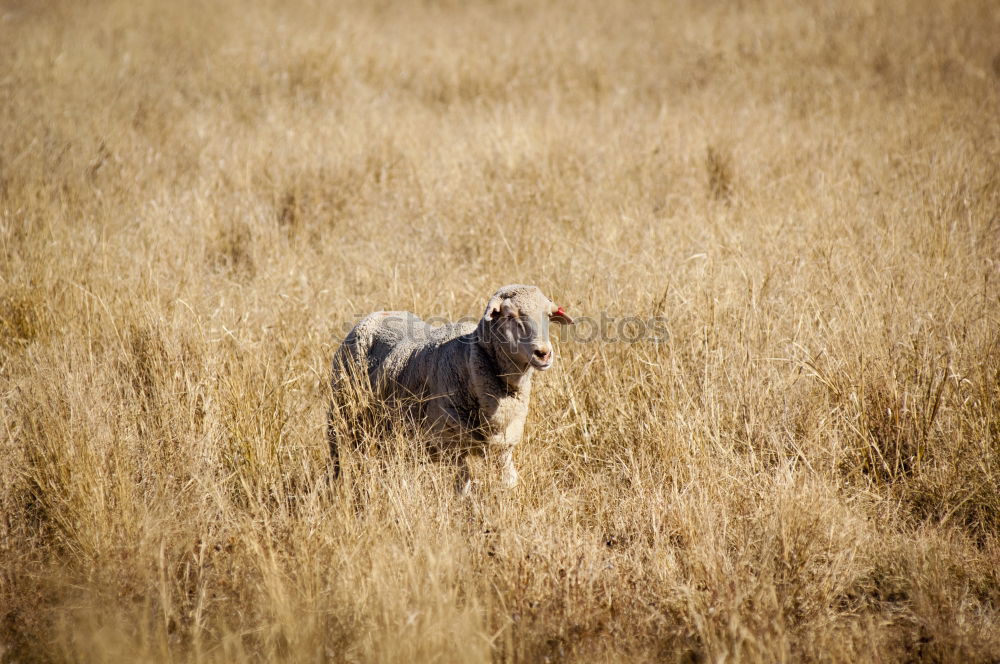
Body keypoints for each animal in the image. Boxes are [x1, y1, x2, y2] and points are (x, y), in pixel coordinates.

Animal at [328, 282, 576, 492]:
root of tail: (376, 315)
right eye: (509, 315)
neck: (468, 359)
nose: (544, 354)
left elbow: (509, 483)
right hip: (340, 416)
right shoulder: (451, 448)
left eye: (548, 316)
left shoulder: (503, 447)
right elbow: (463, 490)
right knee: (337, 459)